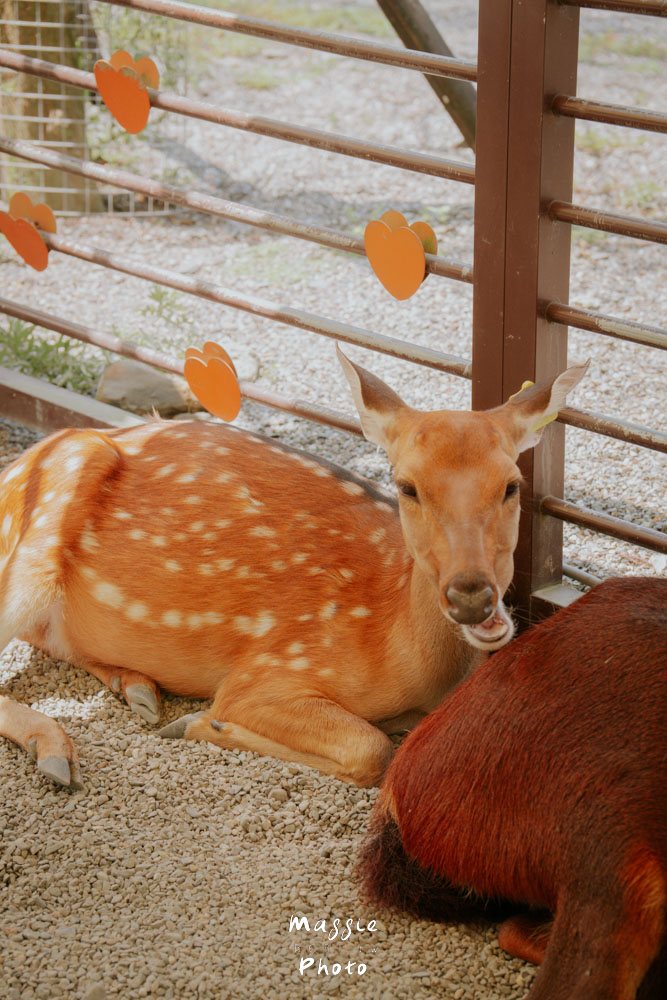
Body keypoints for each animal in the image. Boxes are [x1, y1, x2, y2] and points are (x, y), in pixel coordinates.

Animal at [0, 345, 588, 790]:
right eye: (407, 486)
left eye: (511, 484)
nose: (472, 595)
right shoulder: (273, 666)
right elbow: (372, 747)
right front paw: (196, 724)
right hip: (43, 516)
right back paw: (58, 750)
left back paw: (137, 690)